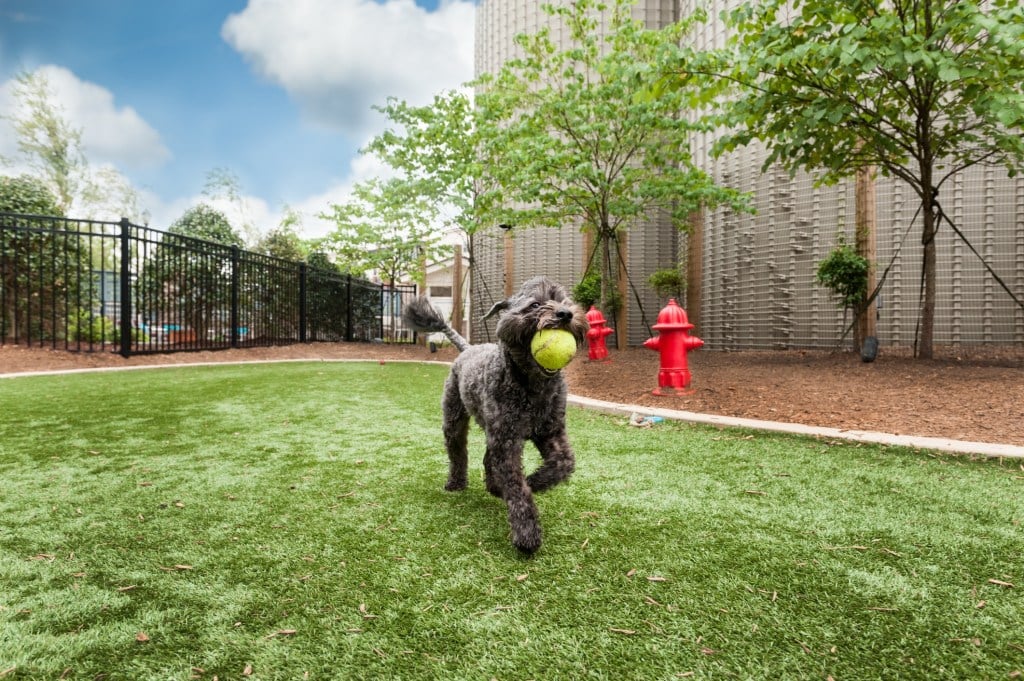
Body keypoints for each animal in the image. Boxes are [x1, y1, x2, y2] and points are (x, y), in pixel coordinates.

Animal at [401, 274, 589, 552]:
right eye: (534, 305)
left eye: (565, 302)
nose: (565, 314)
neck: (532, 386)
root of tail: (468, 348)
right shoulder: (507, 439)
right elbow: (516, 487)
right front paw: (527, 532)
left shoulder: (550, 431)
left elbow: (564, 463)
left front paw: (535, 481)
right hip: (455, 420)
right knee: (458, 454)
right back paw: (457, 483)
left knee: (487, 458)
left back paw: (493, 486)